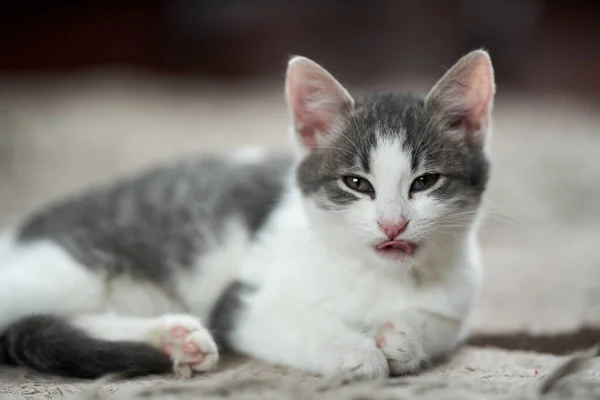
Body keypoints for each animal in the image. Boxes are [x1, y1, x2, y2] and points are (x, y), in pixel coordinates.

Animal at [0, 50, 494, 378]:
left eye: (424, 182)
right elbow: (298, 325)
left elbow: (439, 323)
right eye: (356, 184)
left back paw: (175, 339)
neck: (379, 275)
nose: (393, 224)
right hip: (67, 271)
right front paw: (356, 352)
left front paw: (403, 337)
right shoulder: (244, 302)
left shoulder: (458, 298)